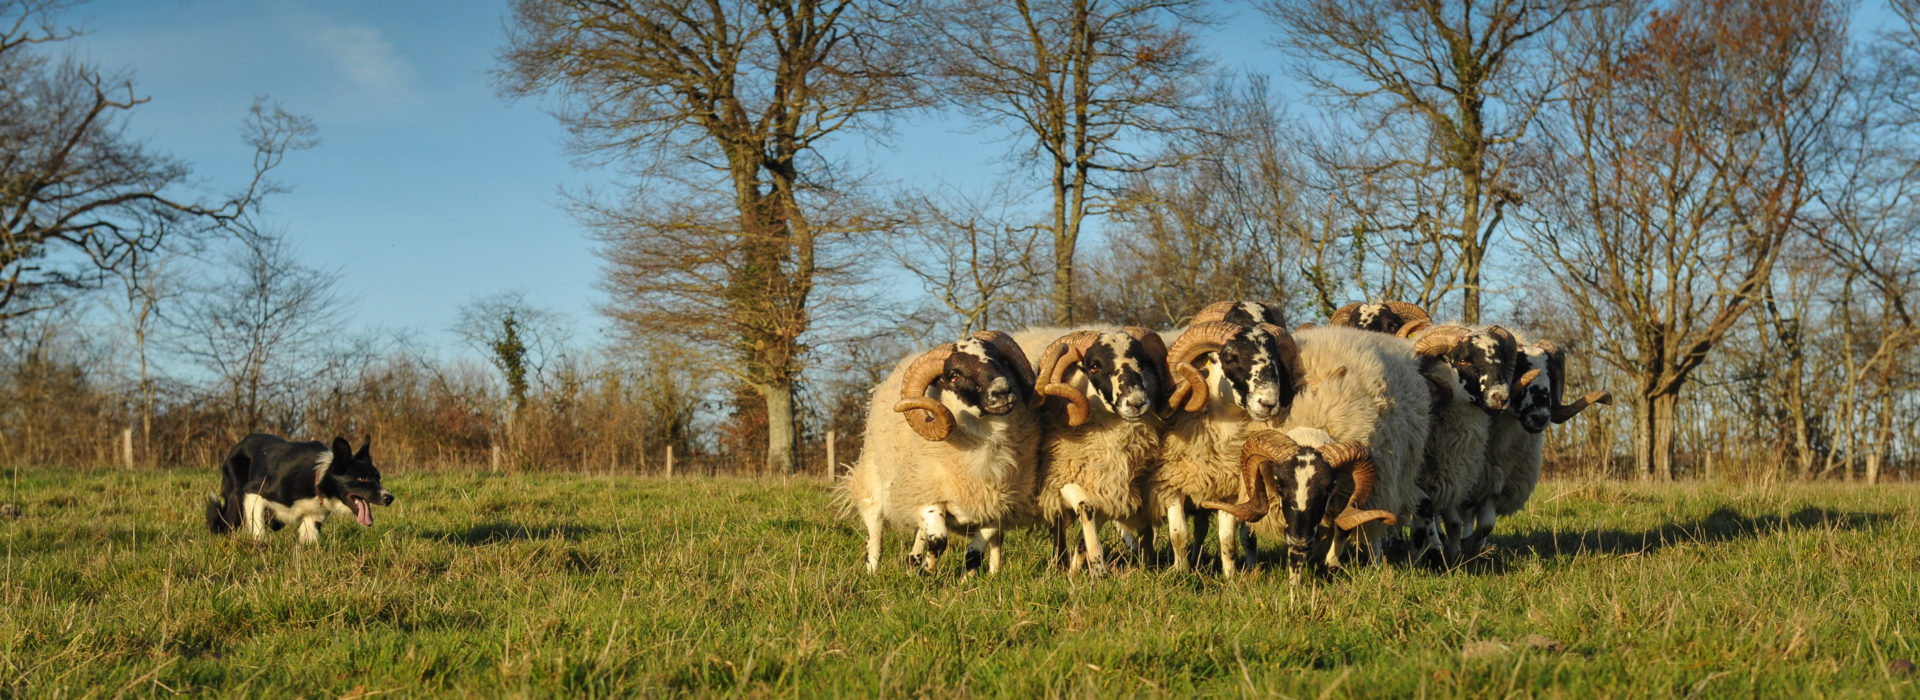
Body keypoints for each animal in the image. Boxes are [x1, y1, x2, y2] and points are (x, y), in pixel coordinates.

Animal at [206, 433, 393, 540]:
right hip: (236, 495)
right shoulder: (254, 491)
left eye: (378, 478)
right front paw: (260, 542)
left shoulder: (313, 515)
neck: (316, 480)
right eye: (361, 478)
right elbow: (257, 525)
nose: (389, 498)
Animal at [848, 331, 1044, 571]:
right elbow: (939, 541)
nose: (1002, 391)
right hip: (876, 485)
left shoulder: (996, 508)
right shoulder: (931, 496)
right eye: (953, 375)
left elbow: (974, 553)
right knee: (875, 533)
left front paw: (964, 577)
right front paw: (927, 572)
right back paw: (873, 571)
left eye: (1001, 360)